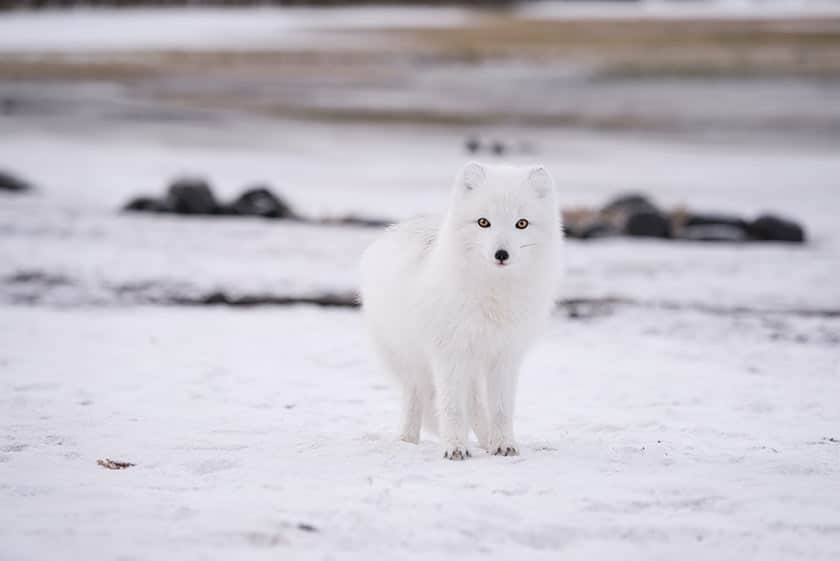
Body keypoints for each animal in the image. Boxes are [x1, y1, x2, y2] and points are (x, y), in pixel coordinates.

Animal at [358, 161, 560, 460]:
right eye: (483, 222)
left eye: (521, 223)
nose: (501, 254)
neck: (493, 294)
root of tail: (396, 228)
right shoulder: (448, 353)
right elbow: (452, 407)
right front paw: (454, 448)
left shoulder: (505, 356)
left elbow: (501, 409)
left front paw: (504, 444)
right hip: (412, 360)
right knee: (416, 397)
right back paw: (408, 441)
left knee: (475, 405)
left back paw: (487, 441)